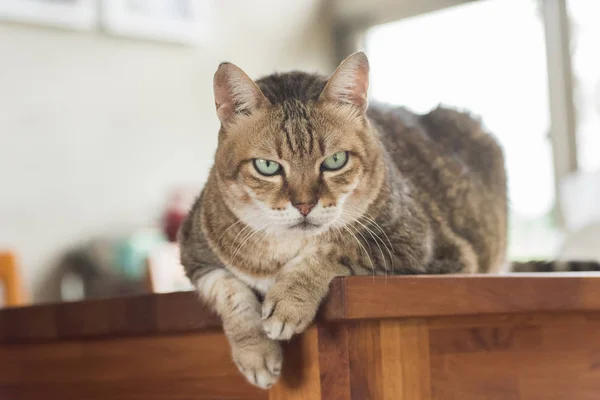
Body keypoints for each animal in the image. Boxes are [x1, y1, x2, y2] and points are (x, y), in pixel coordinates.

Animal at [178, 51, 600, 390]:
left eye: (335, 161)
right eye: (267, 166)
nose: (304, 205)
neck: (281, 254)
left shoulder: (418, 245)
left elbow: (335, 246)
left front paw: (290, 300)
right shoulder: (194, 251)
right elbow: (229, 291)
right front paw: (256, 352)